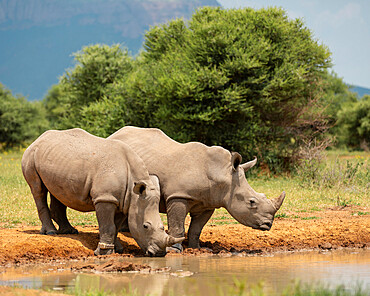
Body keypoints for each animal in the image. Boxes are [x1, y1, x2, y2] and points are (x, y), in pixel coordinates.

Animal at [21, 128, 183, 256]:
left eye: (162, 227)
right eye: (145, 226)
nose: (159, 253)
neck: (134, 190)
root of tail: (38, 139)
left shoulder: (123, 201)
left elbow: (115, 226)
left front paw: (118, 249)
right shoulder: (105, 198)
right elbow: (108, 225)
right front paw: (104, 252)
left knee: (58, 192)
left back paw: (69, 231)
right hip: (30, 155)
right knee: (38, 190)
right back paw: (51, 232)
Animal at [107, 126, 286, 251]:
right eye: (252, 202)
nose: (268, 224)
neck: (224, 175)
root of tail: (113, 135)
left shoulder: (208, 203)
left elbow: (196, 228)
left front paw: (197, 248)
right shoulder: (179, 195)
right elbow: (178, 225)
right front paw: (175, 250)